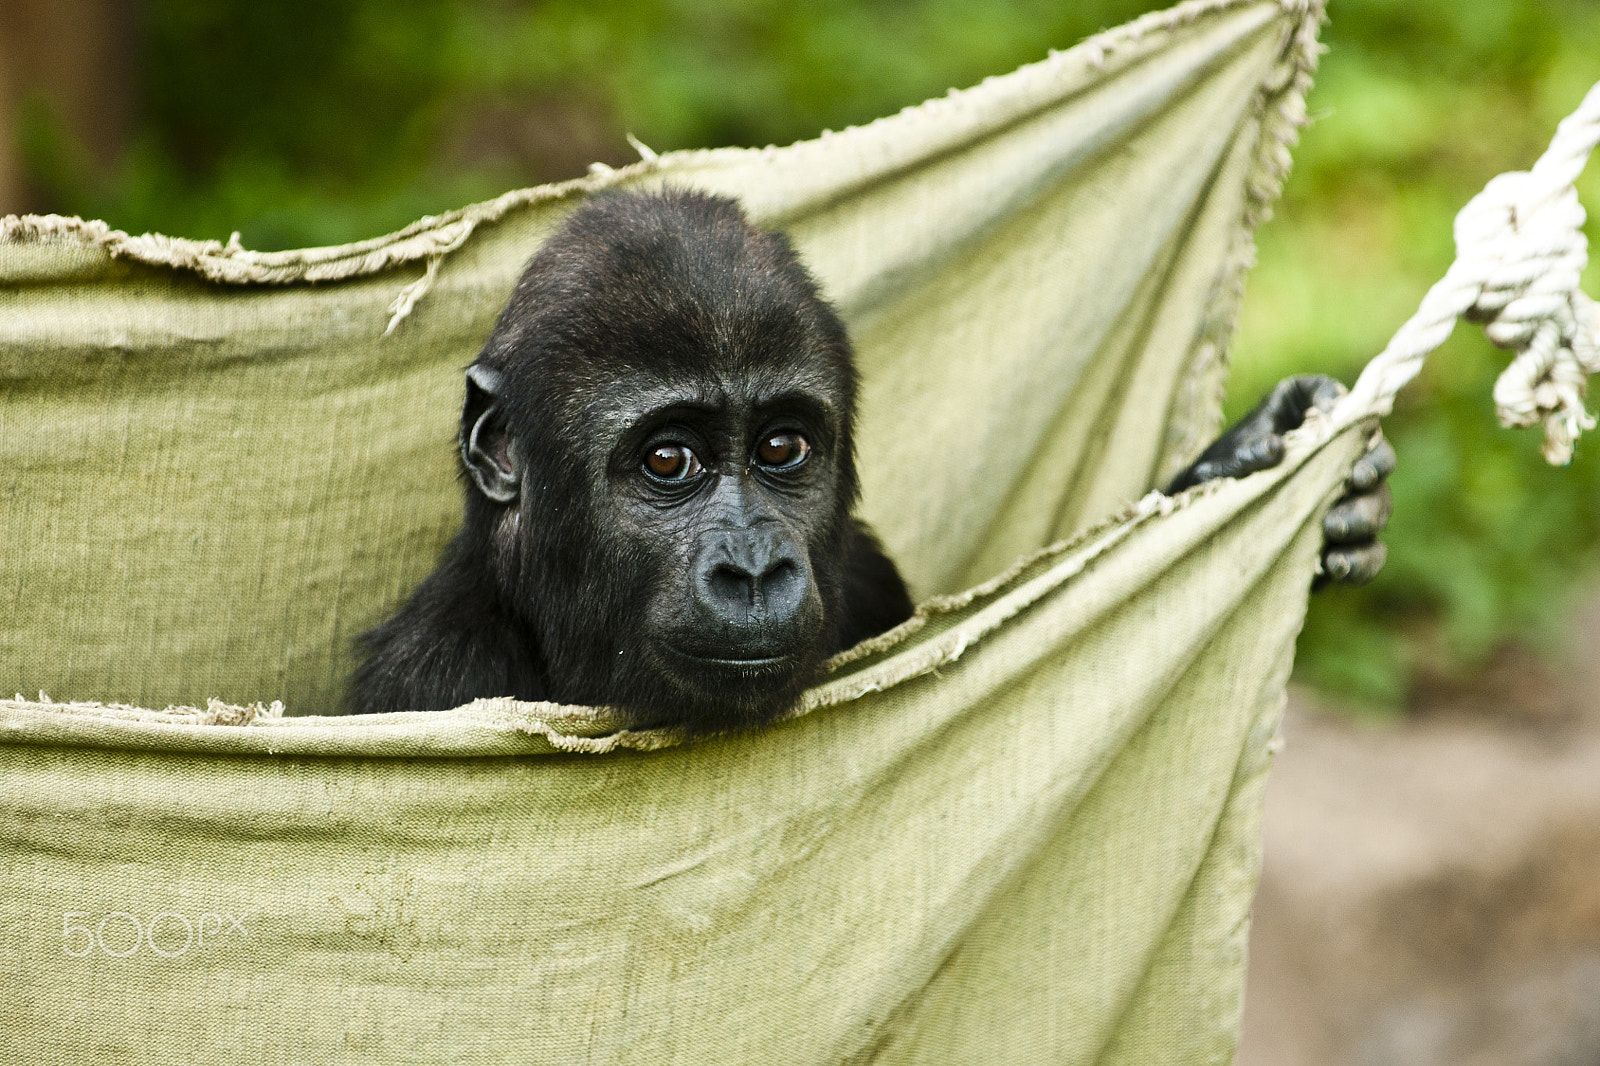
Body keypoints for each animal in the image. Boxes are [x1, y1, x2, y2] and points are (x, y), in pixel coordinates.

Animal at [350, 186, 1388, 726]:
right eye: (667, 463)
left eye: (781, 447)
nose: (753, 568)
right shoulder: (431, 682)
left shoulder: (867, 574)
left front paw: (1248, 455)